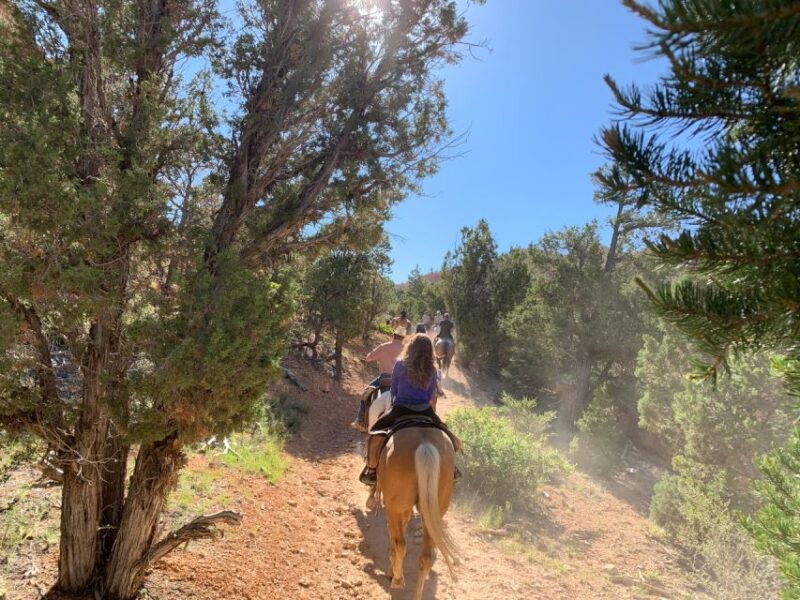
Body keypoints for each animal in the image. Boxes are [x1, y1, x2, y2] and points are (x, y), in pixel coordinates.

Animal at [365, 391, 459, 599]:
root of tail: (425, 445)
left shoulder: (395, 507)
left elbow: (394, 537)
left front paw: (391, 572)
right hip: (435, 510)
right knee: (425, 557)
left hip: (395, 506)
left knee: (401, 543)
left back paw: (398, 580)